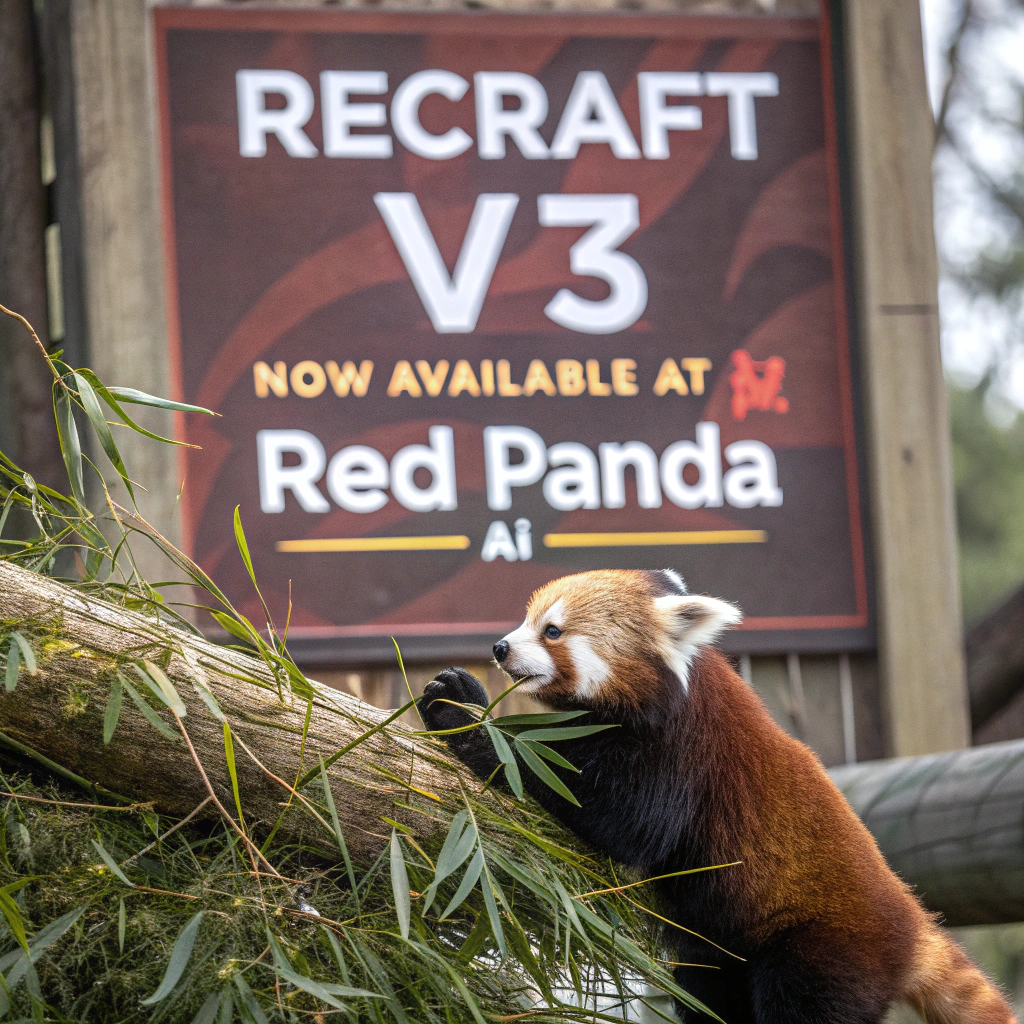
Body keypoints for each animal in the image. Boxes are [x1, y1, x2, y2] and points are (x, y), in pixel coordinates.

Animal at [418, 569, 1014, 1024]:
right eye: (527, 620)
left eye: (553, 631)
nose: (500, 647)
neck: (663, 689)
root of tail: (911, 922)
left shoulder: (680, 752)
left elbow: (622, 821)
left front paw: (468, 719)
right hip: (725, 953)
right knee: (709, 992)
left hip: (826, 947)